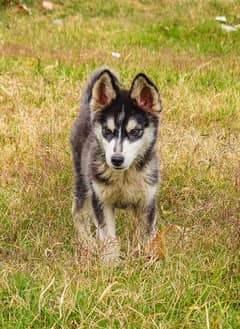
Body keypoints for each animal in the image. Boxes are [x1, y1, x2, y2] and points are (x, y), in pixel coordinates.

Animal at [70, 67, 162, 262]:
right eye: (107, 131)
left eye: (135, 131)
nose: (116, 159)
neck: (124, 177)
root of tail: (87, 107)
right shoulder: (101, 200)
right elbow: (109, 237)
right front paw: (110, 263)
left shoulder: (147, 201)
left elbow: (145, 236)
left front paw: (146, 261)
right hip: (83, 179)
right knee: (78, 212)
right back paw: (88, 245)